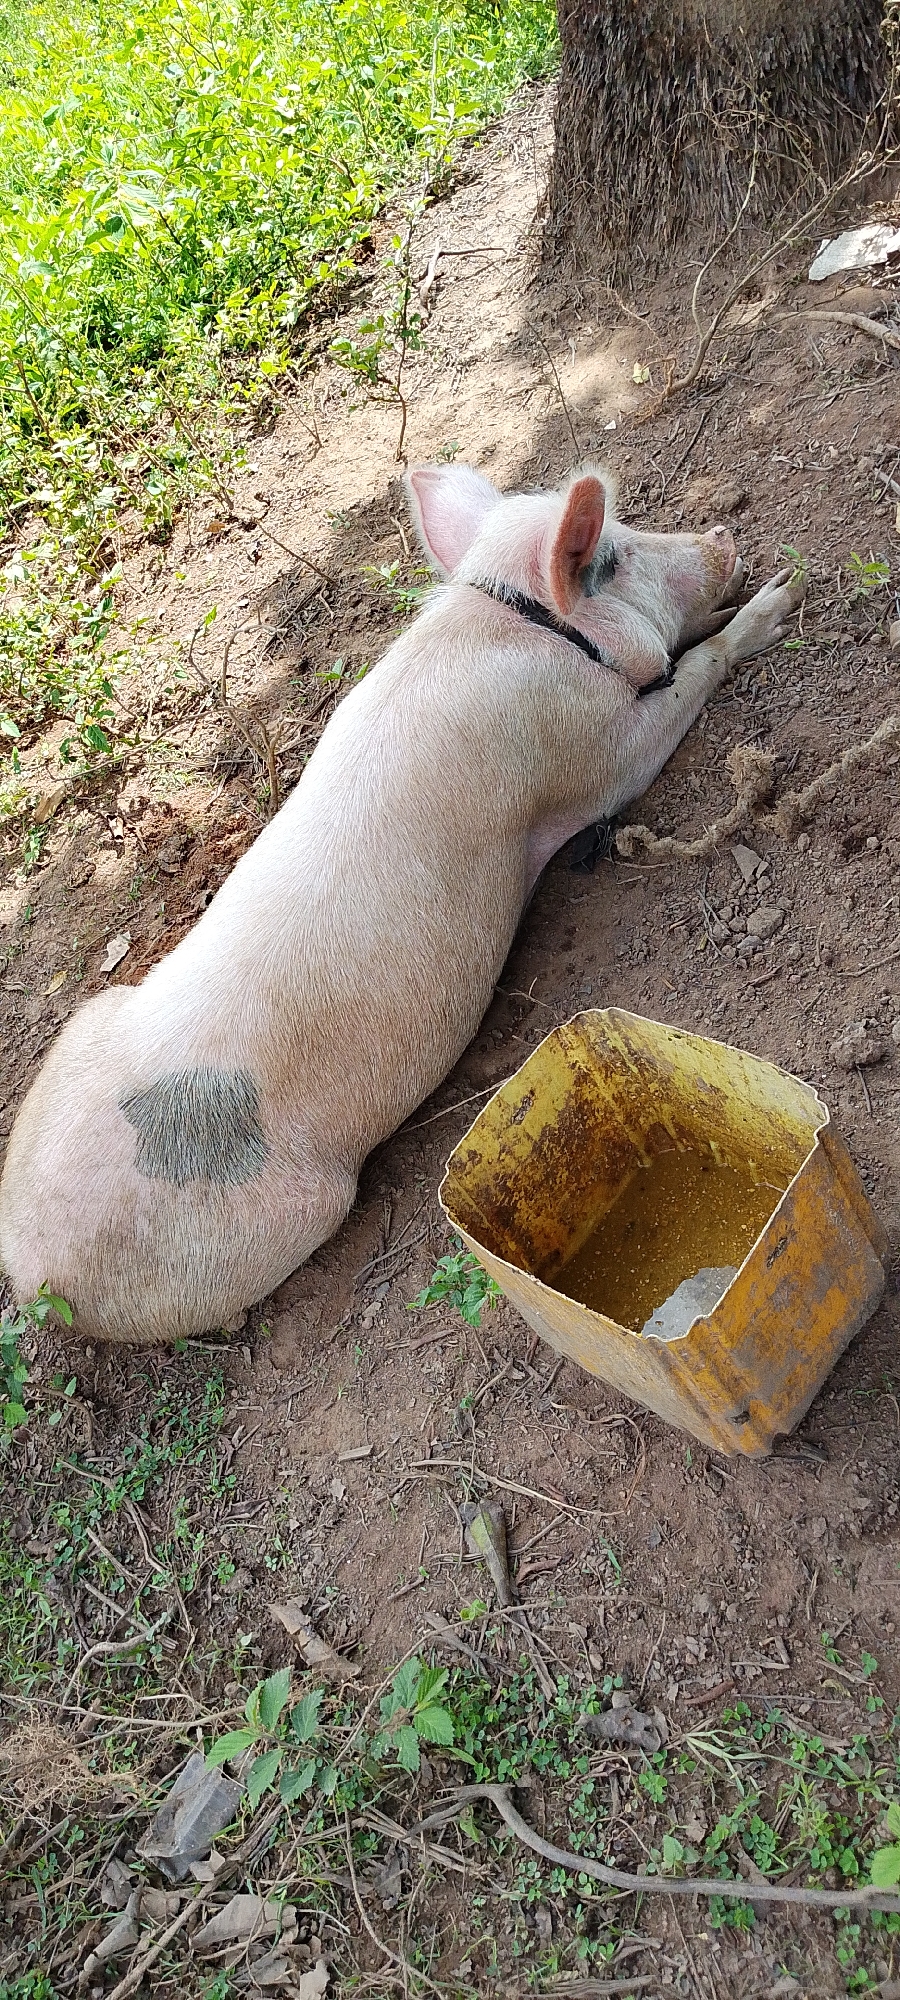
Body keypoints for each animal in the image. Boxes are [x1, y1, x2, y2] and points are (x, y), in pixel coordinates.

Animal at [0, 463, 802, 1344]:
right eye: (615, 556)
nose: (722, 538)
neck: (521, 625)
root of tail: (35, 1275)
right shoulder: (592, 748)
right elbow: (678, 690)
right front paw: (779, 600)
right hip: (288, 1217)